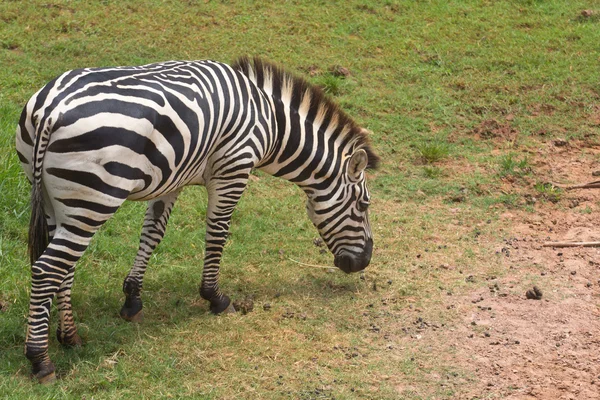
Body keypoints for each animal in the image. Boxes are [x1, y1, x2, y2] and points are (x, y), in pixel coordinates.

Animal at [15, 56, 380, 382]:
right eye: (363, 205)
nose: (363, 262)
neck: (271, 124)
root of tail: (51, 109)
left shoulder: (171, 179)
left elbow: (153, 233)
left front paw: (132, 298)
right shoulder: (233, 170)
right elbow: (218, 232)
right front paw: (215, 297)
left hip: (56, 201)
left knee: (63, 267)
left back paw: (69, 337)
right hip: (92, 201)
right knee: (47, 269)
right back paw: (40, 360)